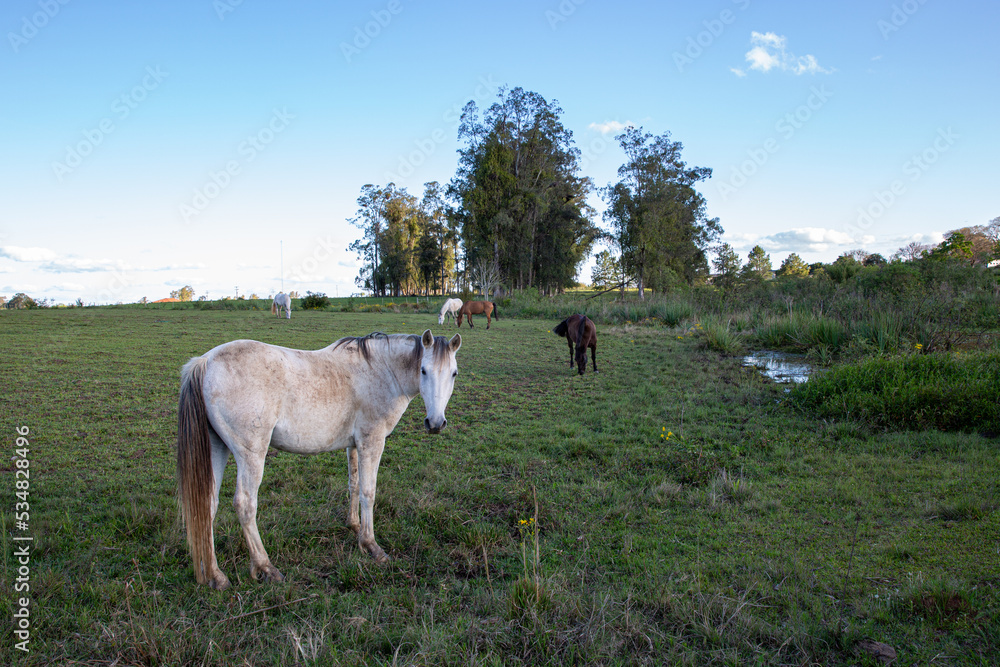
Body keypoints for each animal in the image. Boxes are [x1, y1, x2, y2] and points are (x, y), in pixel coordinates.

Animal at [176, 330, 462, 589]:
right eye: (423, 371)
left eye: (454, 373)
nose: (435, 423)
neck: (382, 370)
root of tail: (205, 361)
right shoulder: (372, 441)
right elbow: (368, 492)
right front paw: (371, 546)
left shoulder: (354, 444)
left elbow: (354, 485)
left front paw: (355, 527)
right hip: (251, 454)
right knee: (245, 504)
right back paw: (266, 567)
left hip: (217, 447)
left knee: (207, 505)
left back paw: (215, 576)